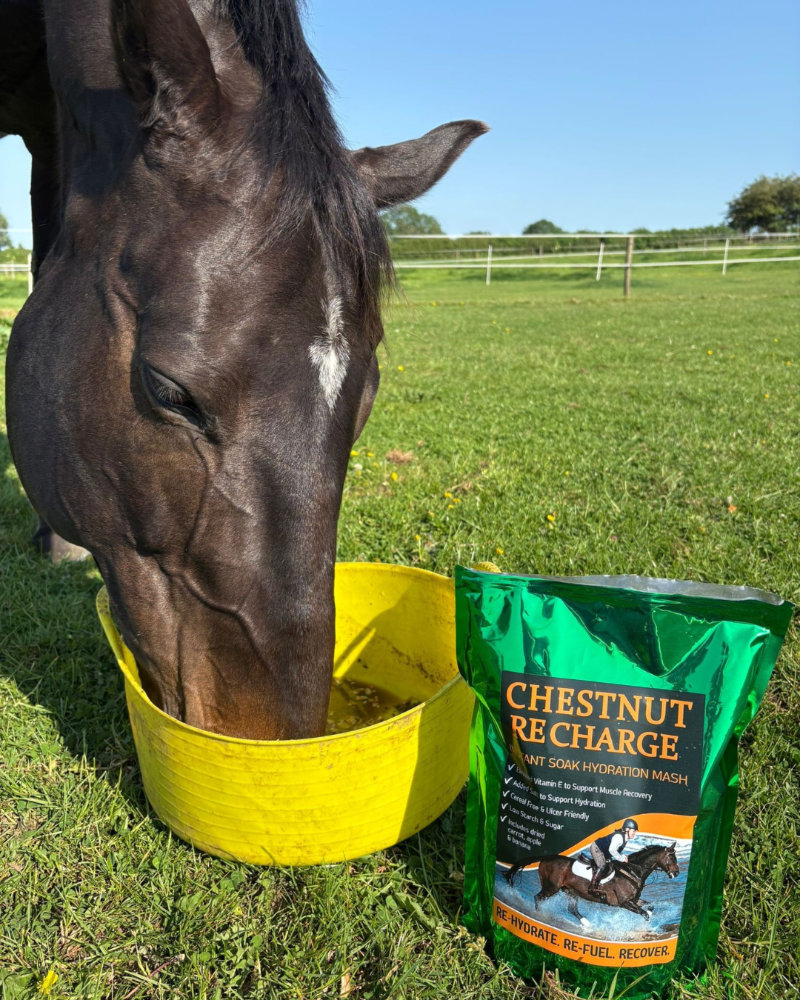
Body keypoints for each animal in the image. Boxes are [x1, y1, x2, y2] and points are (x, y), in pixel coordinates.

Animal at [504, 843, 680, 927]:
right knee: (538, 898)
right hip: (551, 887)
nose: (677, 873)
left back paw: (586, 924)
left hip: (570, 891)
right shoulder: (624, 903)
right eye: (672, 858)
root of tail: (546, 858)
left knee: (572, 909)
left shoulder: (634, 900)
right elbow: (644, 914)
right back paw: (539, 915)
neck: (632, 871)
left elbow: (650, 907)